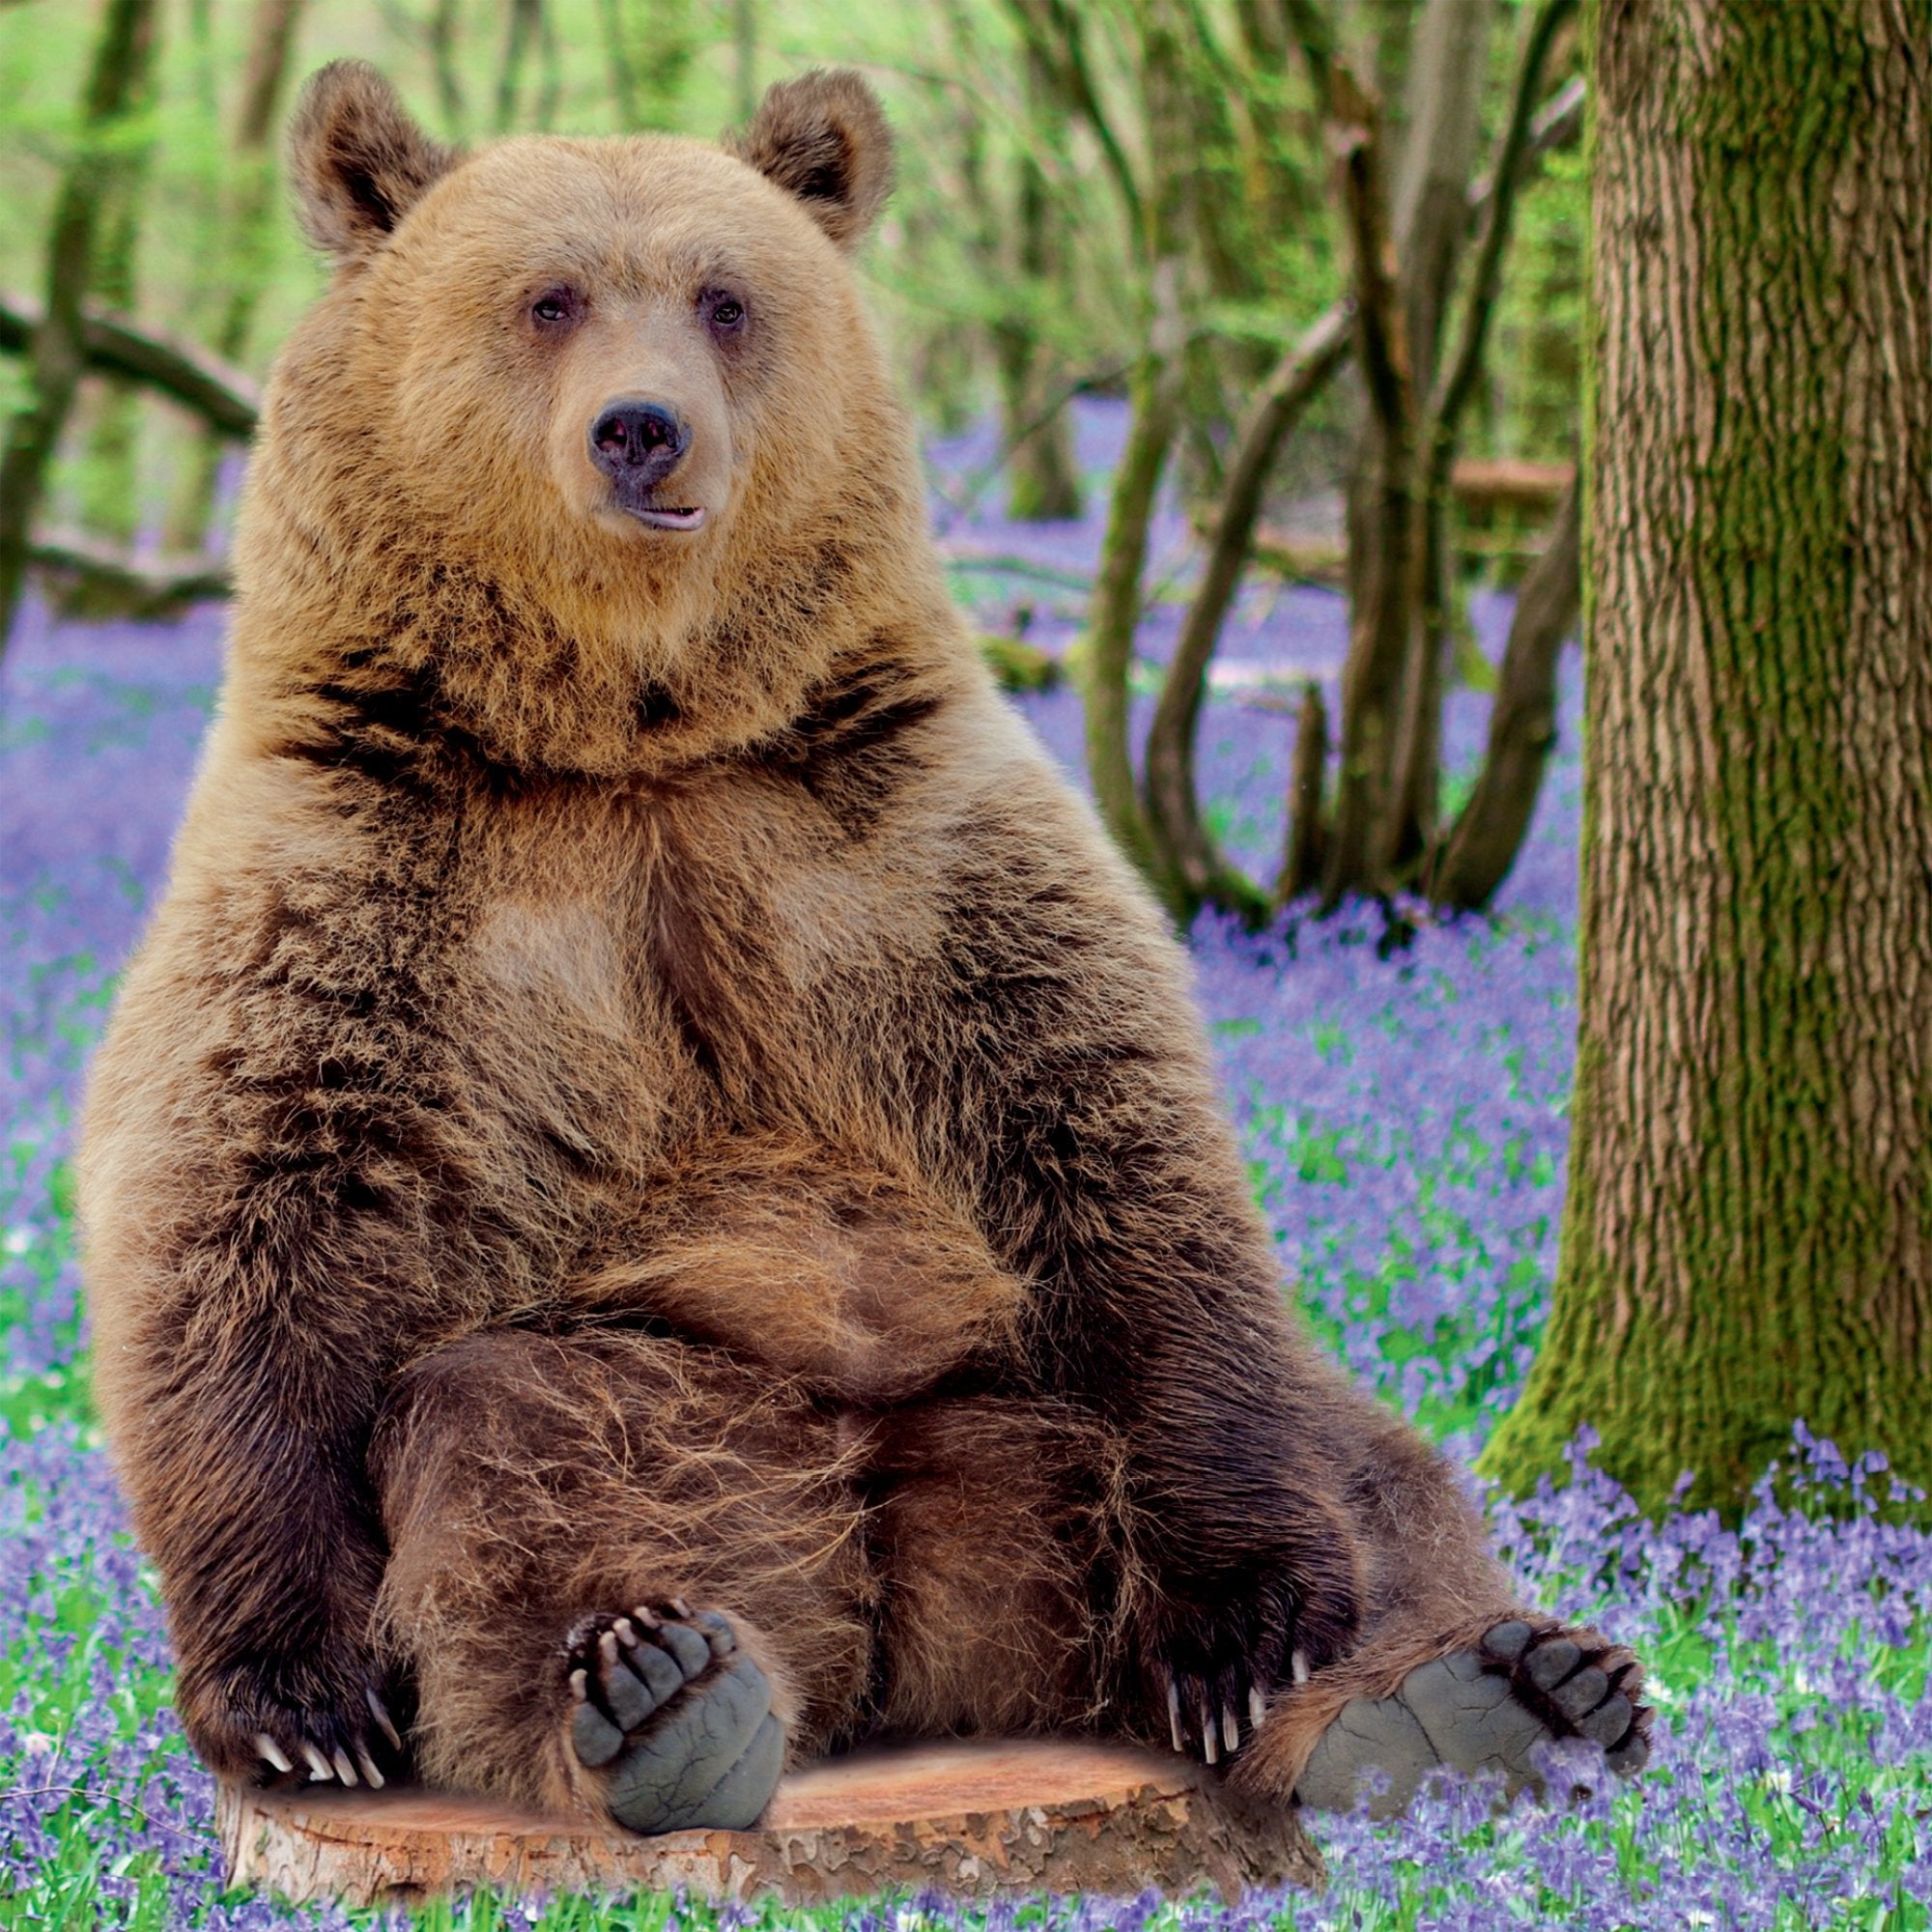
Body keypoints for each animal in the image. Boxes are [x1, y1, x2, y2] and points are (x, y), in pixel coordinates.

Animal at [75, 60, 1646, 1832]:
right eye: (548, 297)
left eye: (726, 297)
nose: (643, 427)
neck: (635, 733)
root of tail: (910, 1623)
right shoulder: (378, 870)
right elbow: (250, 1212)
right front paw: (298, 1700)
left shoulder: (901, 846)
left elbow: (1117, 1142)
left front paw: (1243, 1633)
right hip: (680, 1406)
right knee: (510, 1445)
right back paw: (664, 1695)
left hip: (1028, 1406)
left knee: (1350, 1452)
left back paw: (1480, 1692)